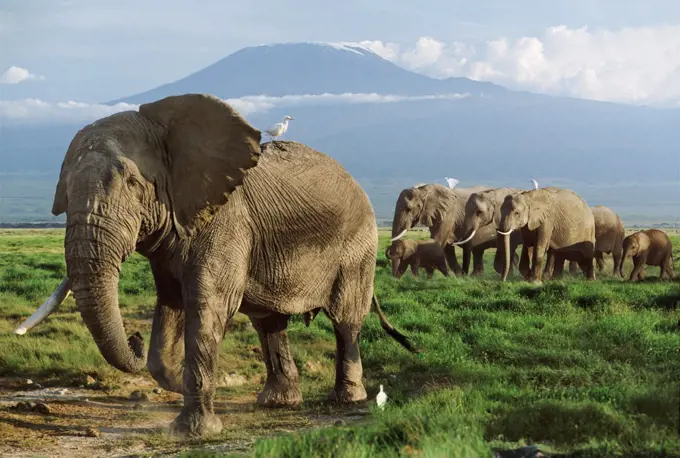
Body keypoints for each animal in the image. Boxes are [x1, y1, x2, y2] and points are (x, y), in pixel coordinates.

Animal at [13, 93, 418, 436]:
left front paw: (194, 433)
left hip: (358, 246)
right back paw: (276, 403)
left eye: (132, 183)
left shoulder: (226, 222)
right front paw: (176, 380)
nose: (134, 337)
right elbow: (171, 305)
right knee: (269, 324)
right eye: (64, 188)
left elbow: (208, 306)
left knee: (346, 321)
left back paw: (347, 399)